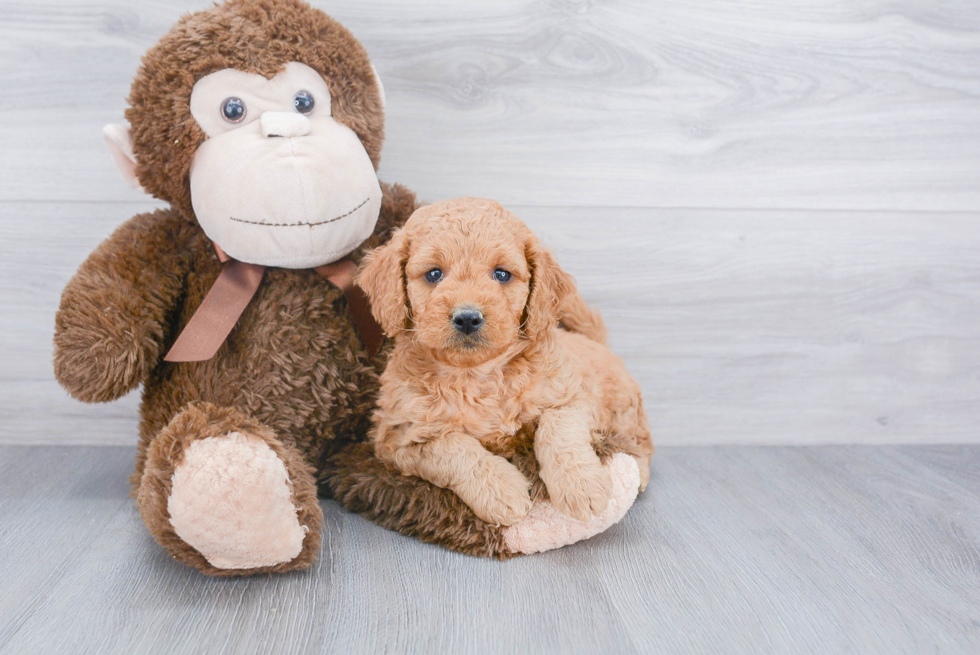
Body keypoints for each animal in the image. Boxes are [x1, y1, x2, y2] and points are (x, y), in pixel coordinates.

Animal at [356, 197, 656, 524]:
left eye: (501, 274)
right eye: (434, 274)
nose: (467, 317)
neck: (477, 374)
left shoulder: (572, 397)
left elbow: (559, 429)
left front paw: (581, 486)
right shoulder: (400, 438)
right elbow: (455, 448)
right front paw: (502, 492)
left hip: (624, 410)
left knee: (640, 442)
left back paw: (638, 474)